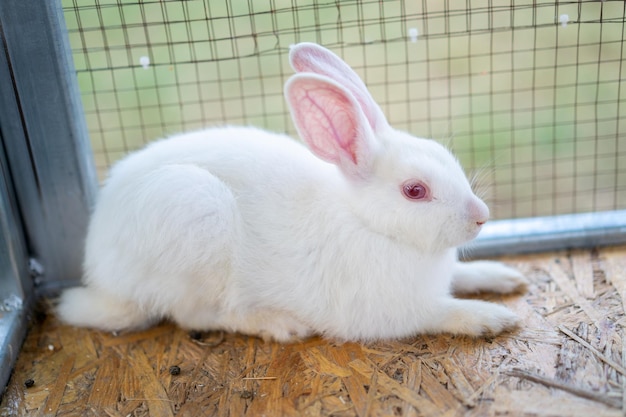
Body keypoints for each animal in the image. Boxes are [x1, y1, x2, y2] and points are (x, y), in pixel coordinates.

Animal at [59, 42, 528, 342]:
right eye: (415, 190)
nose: (481, 215)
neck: (369, 224)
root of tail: (101, 275)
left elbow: (463, 276)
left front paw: (505, 277)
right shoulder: (390, 311)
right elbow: (440, 311)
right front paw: (493, 318)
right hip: (196, 222)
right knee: (206, 315)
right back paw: (281, 325)